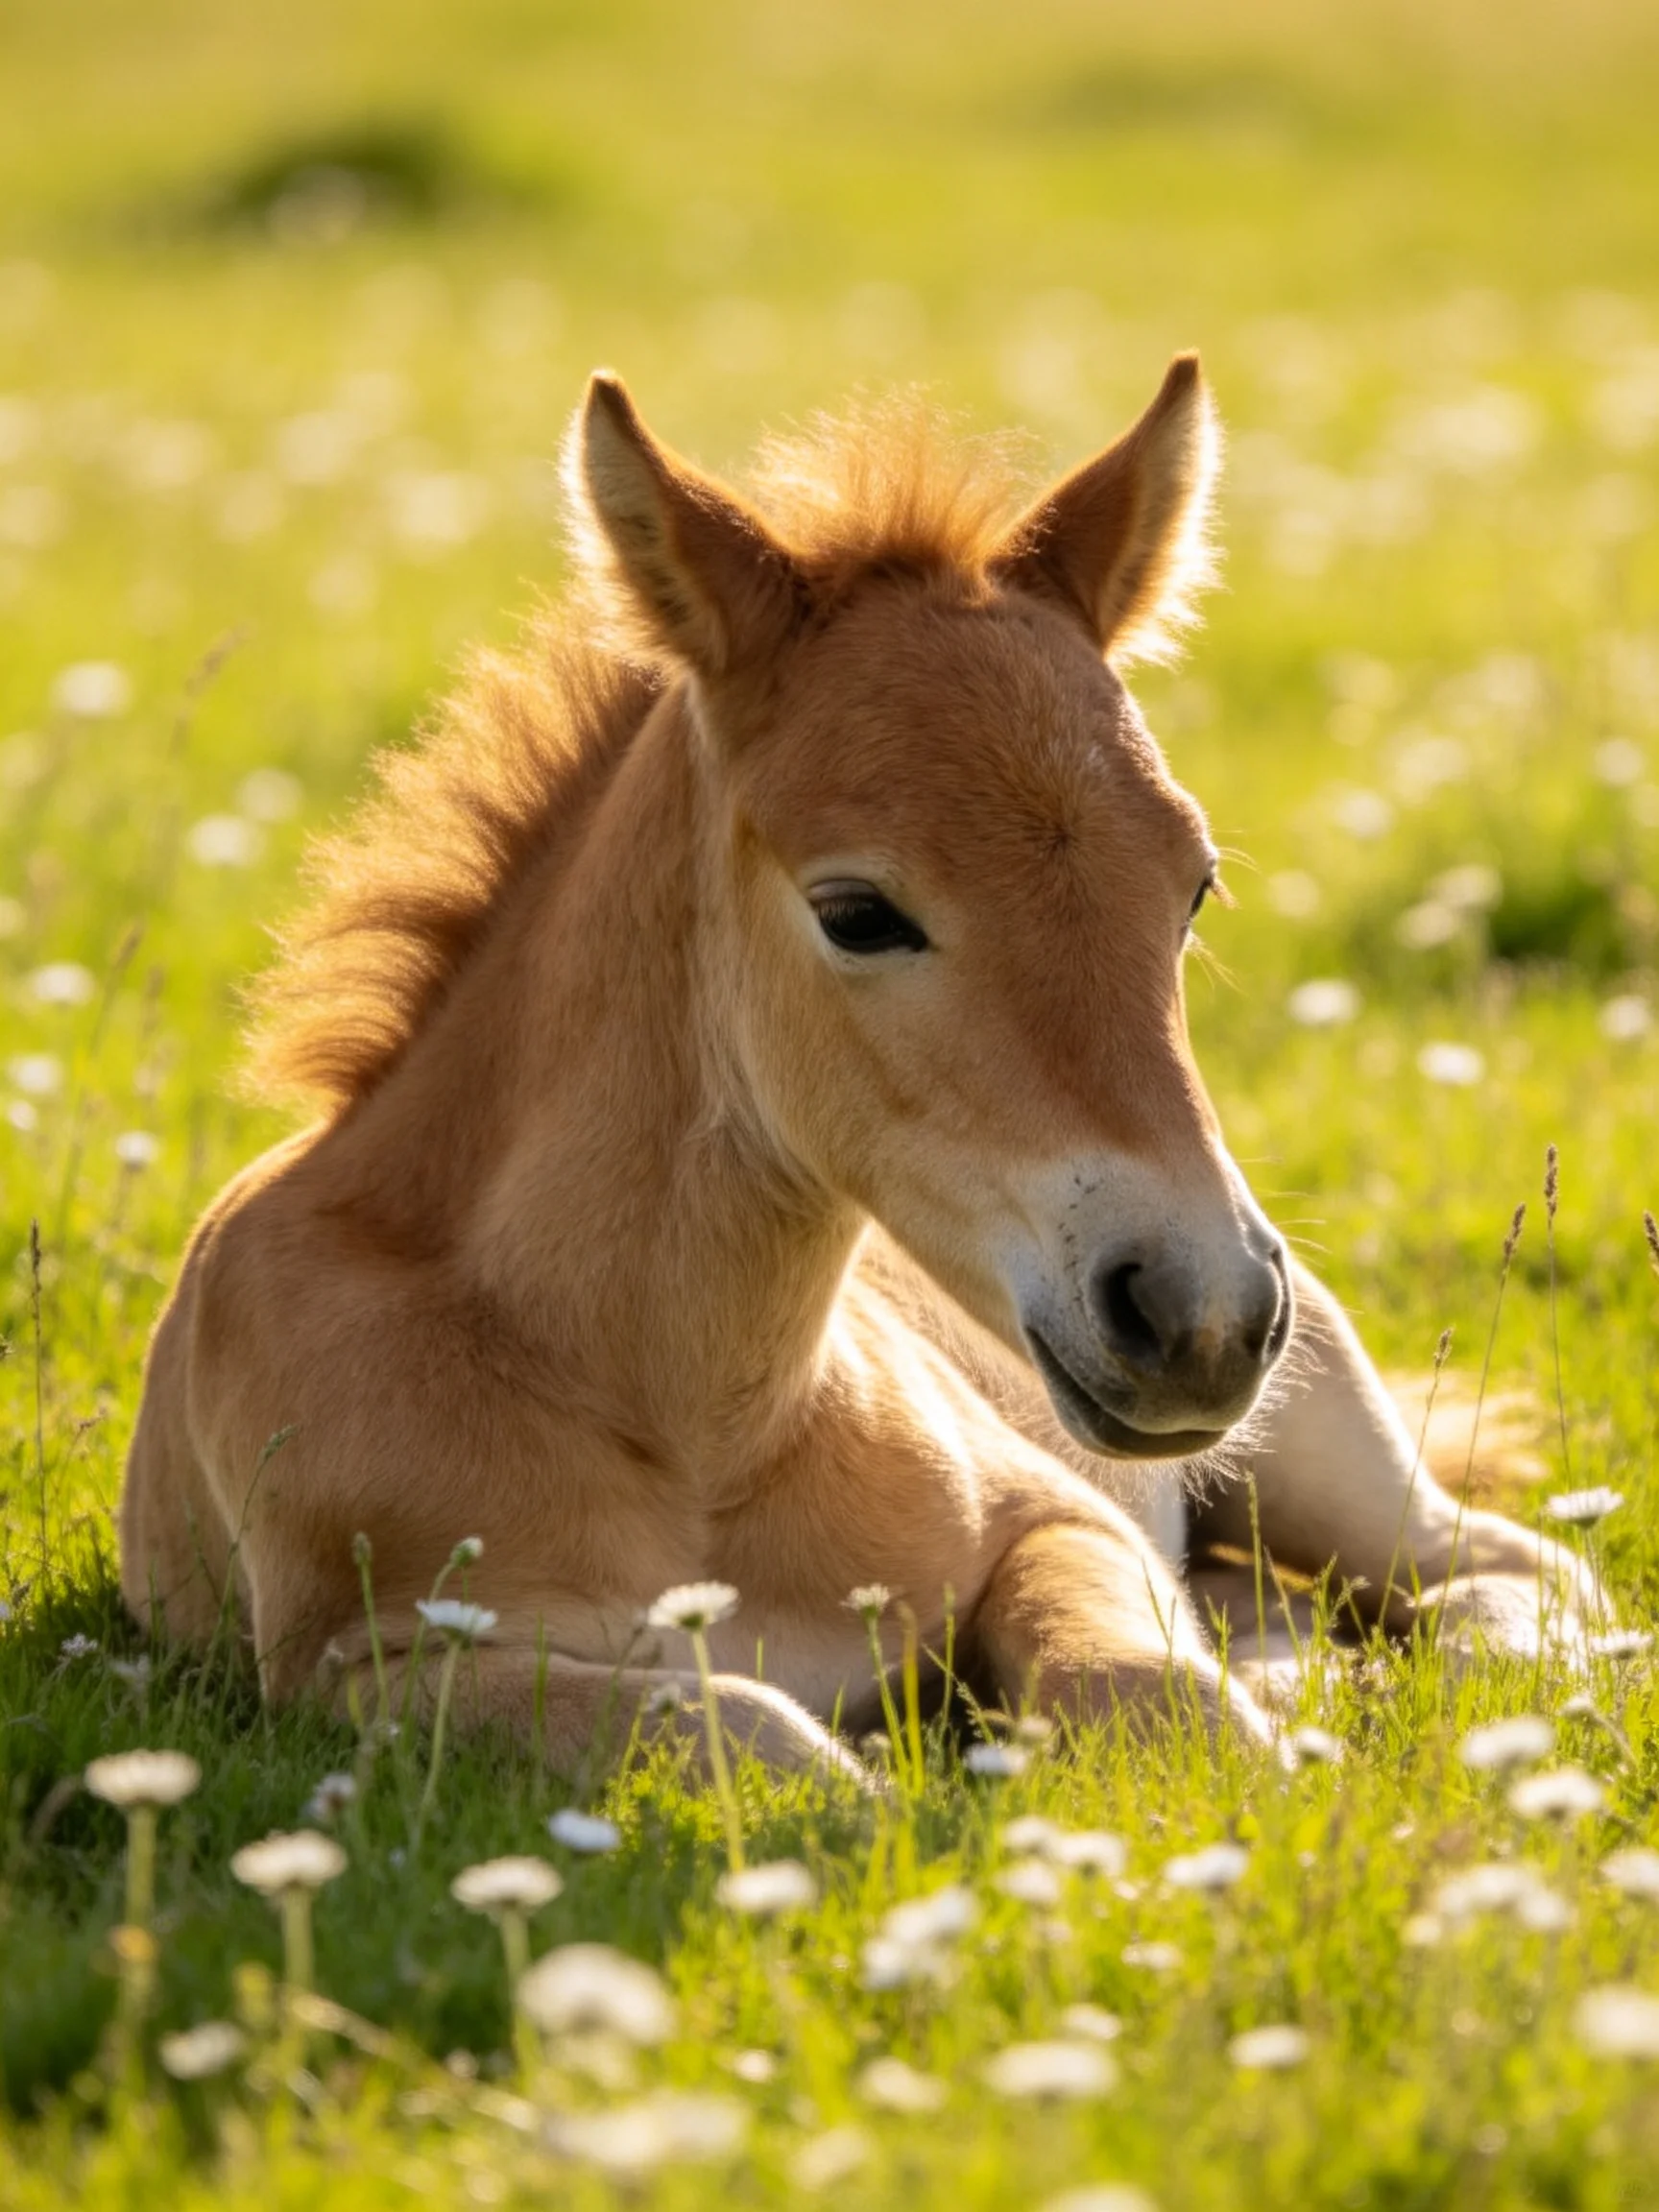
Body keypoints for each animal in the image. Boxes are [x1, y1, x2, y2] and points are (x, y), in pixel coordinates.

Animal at [119, 356, 1593, 1772]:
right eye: (858, 912)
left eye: (1194, 887)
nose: (1201, 1316)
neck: (690, 1434)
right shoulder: (357, 1679)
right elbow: (752, 1737)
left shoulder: (1063, 1522)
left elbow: (1157, 1699)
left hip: (1316, 1441)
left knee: (1495, 1570)